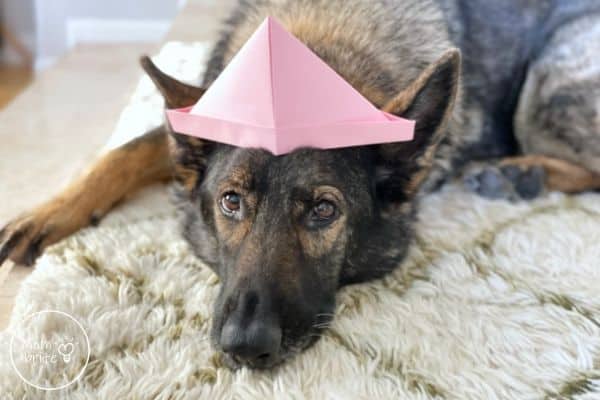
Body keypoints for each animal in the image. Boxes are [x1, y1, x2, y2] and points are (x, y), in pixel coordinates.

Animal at [3, 0, 600, 370]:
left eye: (323, 211)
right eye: (231, 202)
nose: (245, 347)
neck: (319, 44)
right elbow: (123, 151)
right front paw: (48, 212)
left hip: (546, 91)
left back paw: (518, 171)